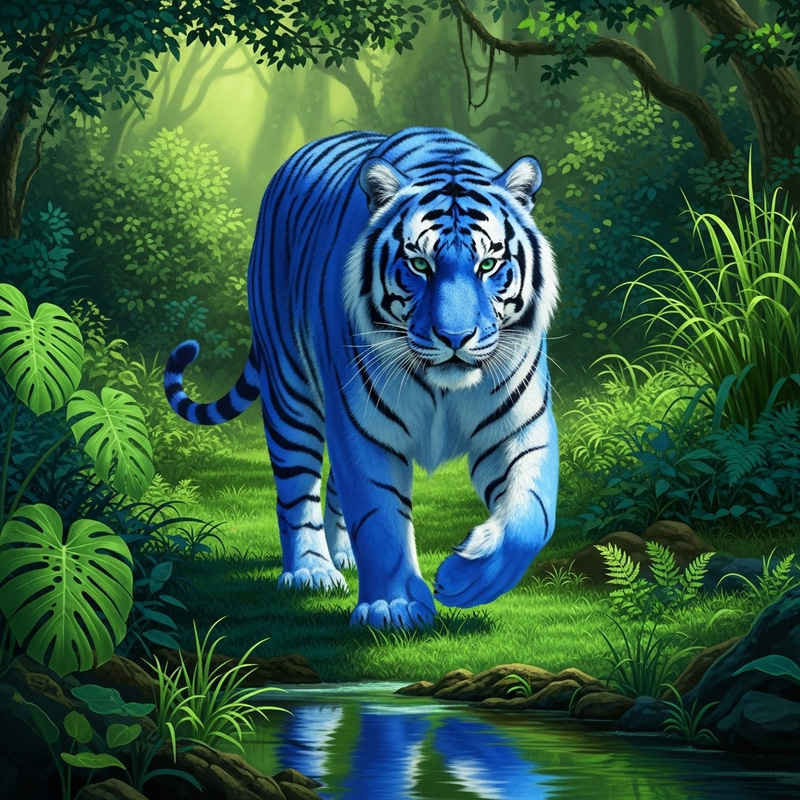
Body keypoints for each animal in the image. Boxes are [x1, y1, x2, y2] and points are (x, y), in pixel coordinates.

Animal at [164, 127, 559, 629]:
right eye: (420, 265)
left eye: (488, 265)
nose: (454, 337)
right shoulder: (363, 426)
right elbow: (379, 515)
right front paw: (394, 607)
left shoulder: (521, 426)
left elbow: (532, 515)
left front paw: (465, 578)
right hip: (290, 394)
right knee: (296, 489)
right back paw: (311, 571)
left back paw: (343, 555)